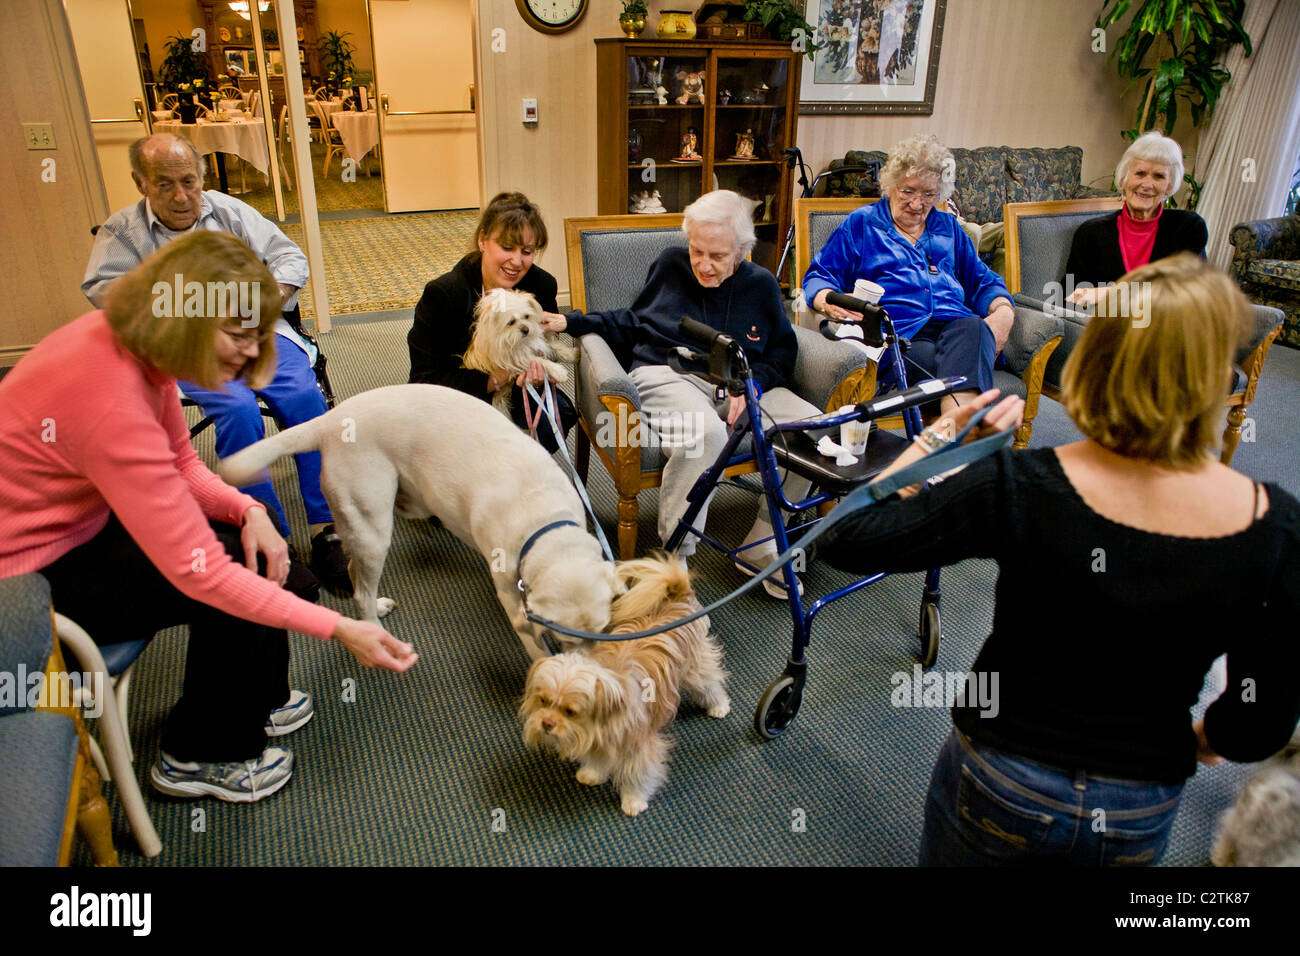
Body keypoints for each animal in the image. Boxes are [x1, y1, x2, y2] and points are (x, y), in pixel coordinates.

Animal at [218, 382, 613, 658]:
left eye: (605, 632)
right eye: (563, 639)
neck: (544, 518)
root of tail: (330, 420)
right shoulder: (513, 603)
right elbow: (538, 654)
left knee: (354, 573)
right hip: (372, 525)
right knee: (360, 591)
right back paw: (376, 634)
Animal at [460, 286, 577, 416]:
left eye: (526, 316)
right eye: (511, 322)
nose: (526, 330)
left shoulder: (538, 341)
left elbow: (555, 346)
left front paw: (574, 354)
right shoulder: (516, 358)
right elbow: (540, 361)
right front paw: (558, 371)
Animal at [520, 556, 733, 816]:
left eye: (570, 712)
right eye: (543, 701)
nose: (547, 723)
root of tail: (675, 597)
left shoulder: (638, 748)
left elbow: (637, 776)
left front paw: (633, 800)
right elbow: (596, 759)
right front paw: (593, 774)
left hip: (696, 669)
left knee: (711, 683)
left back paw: (719, 706)